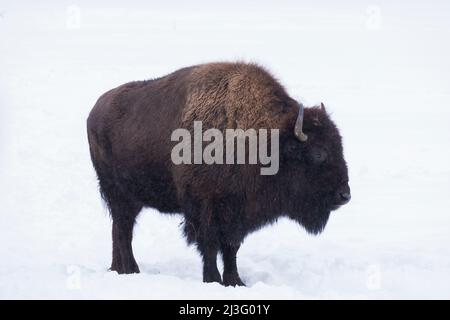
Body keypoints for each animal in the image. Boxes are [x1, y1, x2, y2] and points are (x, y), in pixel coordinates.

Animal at [86, 61, 350, 286]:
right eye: (318, 153)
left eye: (339, 146)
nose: (345, 195)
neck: (266, 141)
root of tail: (94, 110)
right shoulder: (206, 210)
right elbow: (211, 246)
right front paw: (212, 280)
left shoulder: (237, 214)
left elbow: (231, 248)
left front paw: (235, 281)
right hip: (119, 195)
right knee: (123, 230)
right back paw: (131, 270)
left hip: (130, 199)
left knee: (119, 229)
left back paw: (119, 269)